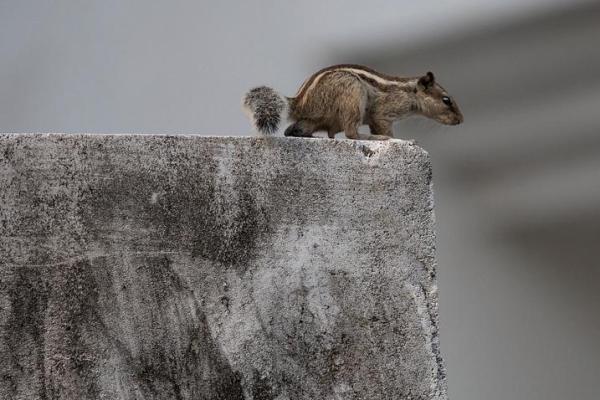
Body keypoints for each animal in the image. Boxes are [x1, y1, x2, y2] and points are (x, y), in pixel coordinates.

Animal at [243, 64, 464, 141]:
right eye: (446, 100)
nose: (461, 120)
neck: (409, 93)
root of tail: (300, 102)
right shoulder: (382, 114)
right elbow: (385, 129)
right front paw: (399, 140)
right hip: (353, 92)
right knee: (351, 133)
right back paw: (370, 138)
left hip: (315, 118)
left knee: (293, 130)